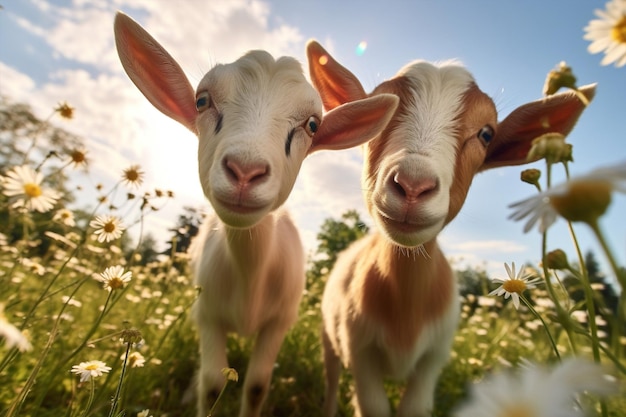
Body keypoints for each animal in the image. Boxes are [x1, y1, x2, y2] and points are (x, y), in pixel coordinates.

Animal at [112, 13, 398, 416]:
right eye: (202, 100)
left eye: (312, 125)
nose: (245, 171)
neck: (249, 274)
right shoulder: (207, 315)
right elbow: (212, 384)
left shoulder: (279, 322)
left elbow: (257, 385)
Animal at [308, 39, 596, 416]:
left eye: (486, 133)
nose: (413, 185)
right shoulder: (359, 352)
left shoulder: (434, 359)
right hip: (329, 337)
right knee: (329, 380)